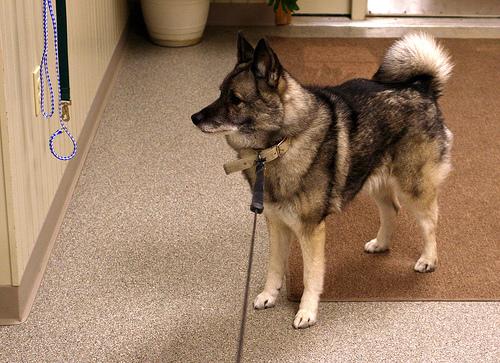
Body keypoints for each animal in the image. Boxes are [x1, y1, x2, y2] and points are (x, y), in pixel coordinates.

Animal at [191, 33, 454, 330]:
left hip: (413, 186)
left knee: (430, 222)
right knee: (391, 210)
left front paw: (306, 311)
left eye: (235, 99)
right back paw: (381, 243)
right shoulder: (277, 224)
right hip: (373, 178)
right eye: (220, 92)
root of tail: (422, 87)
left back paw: (428, 259)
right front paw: (269, 295)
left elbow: (311, 275)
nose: (194, 118)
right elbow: (274, 266)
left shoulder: (310, 230)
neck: (278, 146)